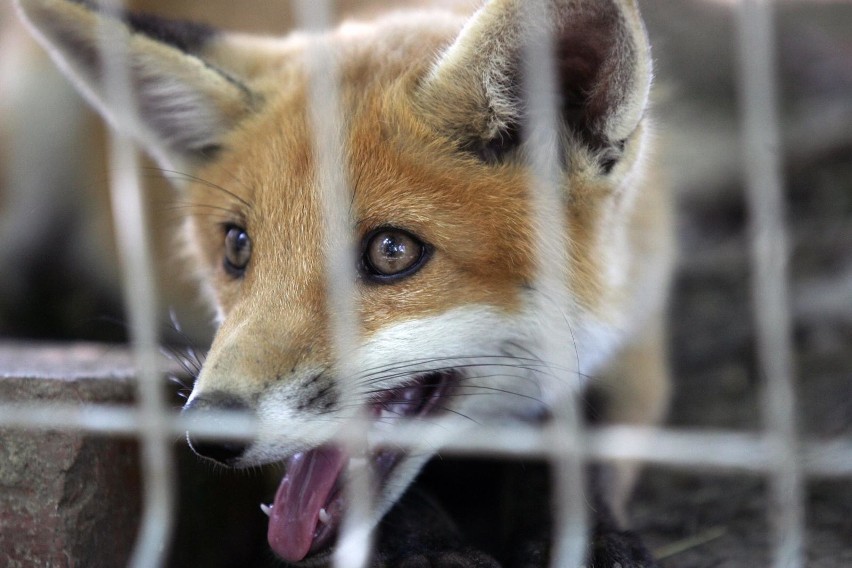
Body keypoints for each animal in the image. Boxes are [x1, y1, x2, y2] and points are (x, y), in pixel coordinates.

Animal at [16, 0, 676, 560]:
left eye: (391, 251)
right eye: (236, 247)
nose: (208, 429)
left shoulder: (635, 335)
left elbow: (583, 451)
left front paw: (588, 537)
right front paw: (425, 547)